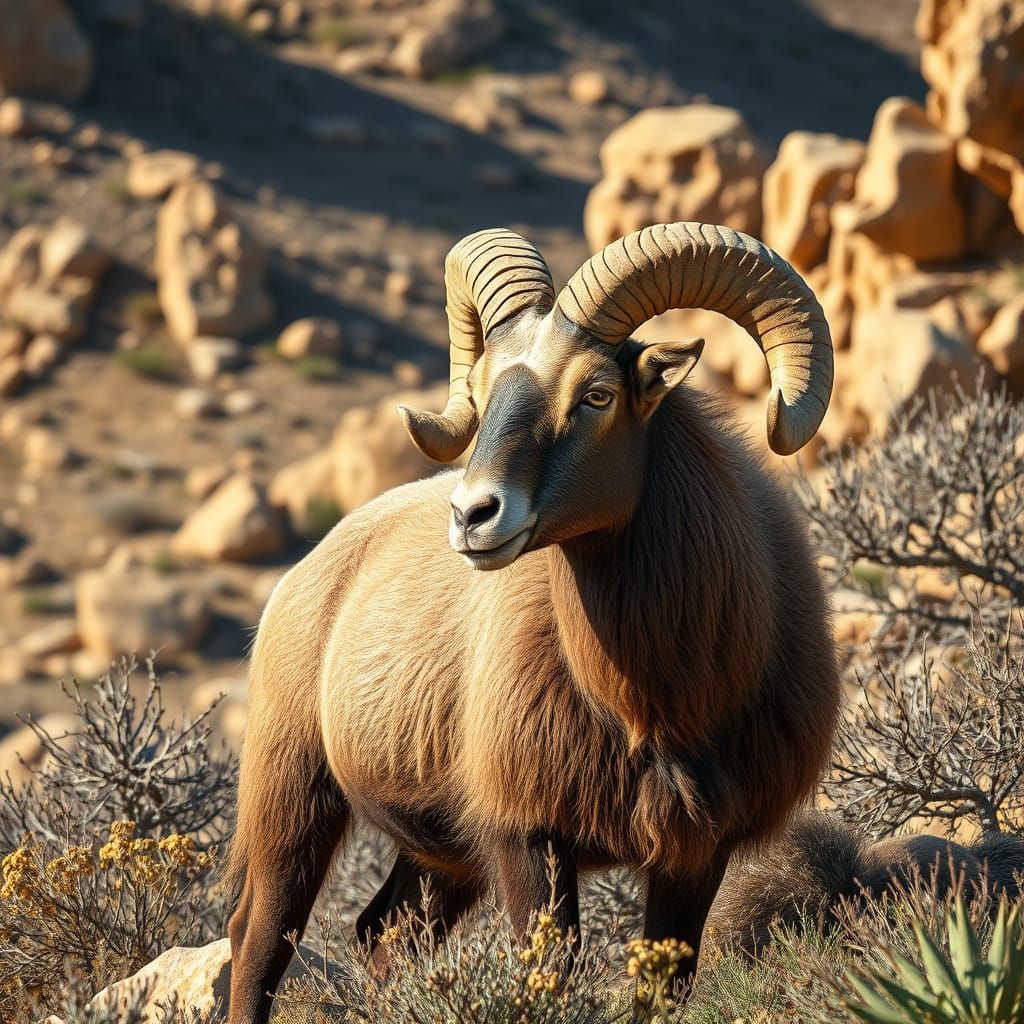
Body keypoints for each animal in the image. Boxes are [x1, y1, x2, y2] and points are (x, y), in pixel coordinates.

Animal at [224, 222, 840, 1024]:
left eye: (597, 393)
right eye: (484, 393)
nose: (473, 516)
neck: (655, 702)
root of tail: (305, 575)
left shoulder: (696, 851)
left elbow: (662, 990)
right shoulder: (528, 838)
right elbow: (547, 977)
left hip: (441, 857)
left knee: (384, 936)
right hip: (293, 797)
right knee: (259, 939)